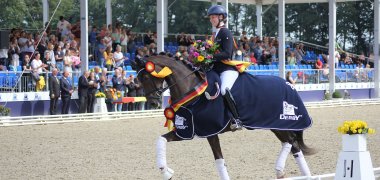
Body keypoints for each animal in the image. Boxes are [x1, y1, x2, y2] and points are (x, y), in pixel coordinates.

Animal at [135, 55, 316, 179]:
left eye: (146, 77)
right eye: (138, 78)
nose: (153, 103)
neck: (194, 91)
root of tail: (288, 84)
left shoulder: (211, 131)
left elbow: (219, 160)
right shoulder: (187, 131)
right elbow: (160, 140)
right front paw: (166, 172)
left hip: (279, 122)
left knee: (291, 142)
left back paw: (282, 170)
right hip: (274, 124)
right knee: (293, 145)